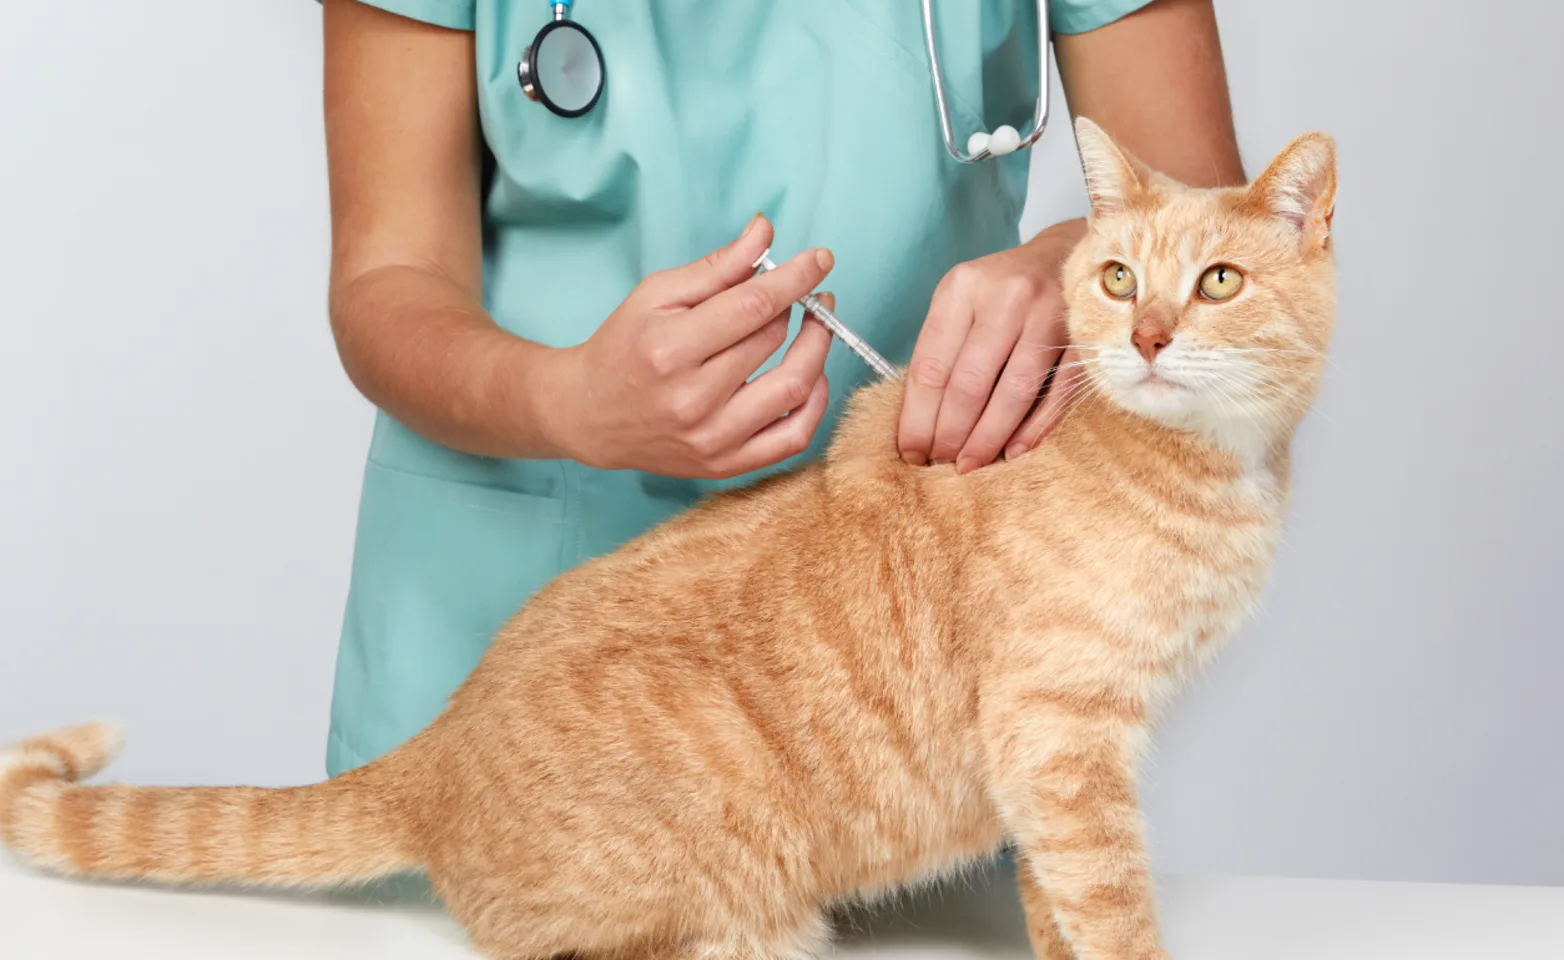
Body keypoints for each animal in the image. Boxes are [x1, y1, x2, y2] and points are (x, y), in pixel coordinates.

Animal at [0, 121, 1332, 960]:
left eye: (1215, 283)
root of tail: (434, 747)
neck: (1203, 467)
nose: (1149, 336)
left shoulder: (1063, 771)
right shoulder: (1061, 744)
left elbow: (1059, 906)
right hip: (737, 913)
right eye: (1114, 280)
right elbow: (1109, 906)